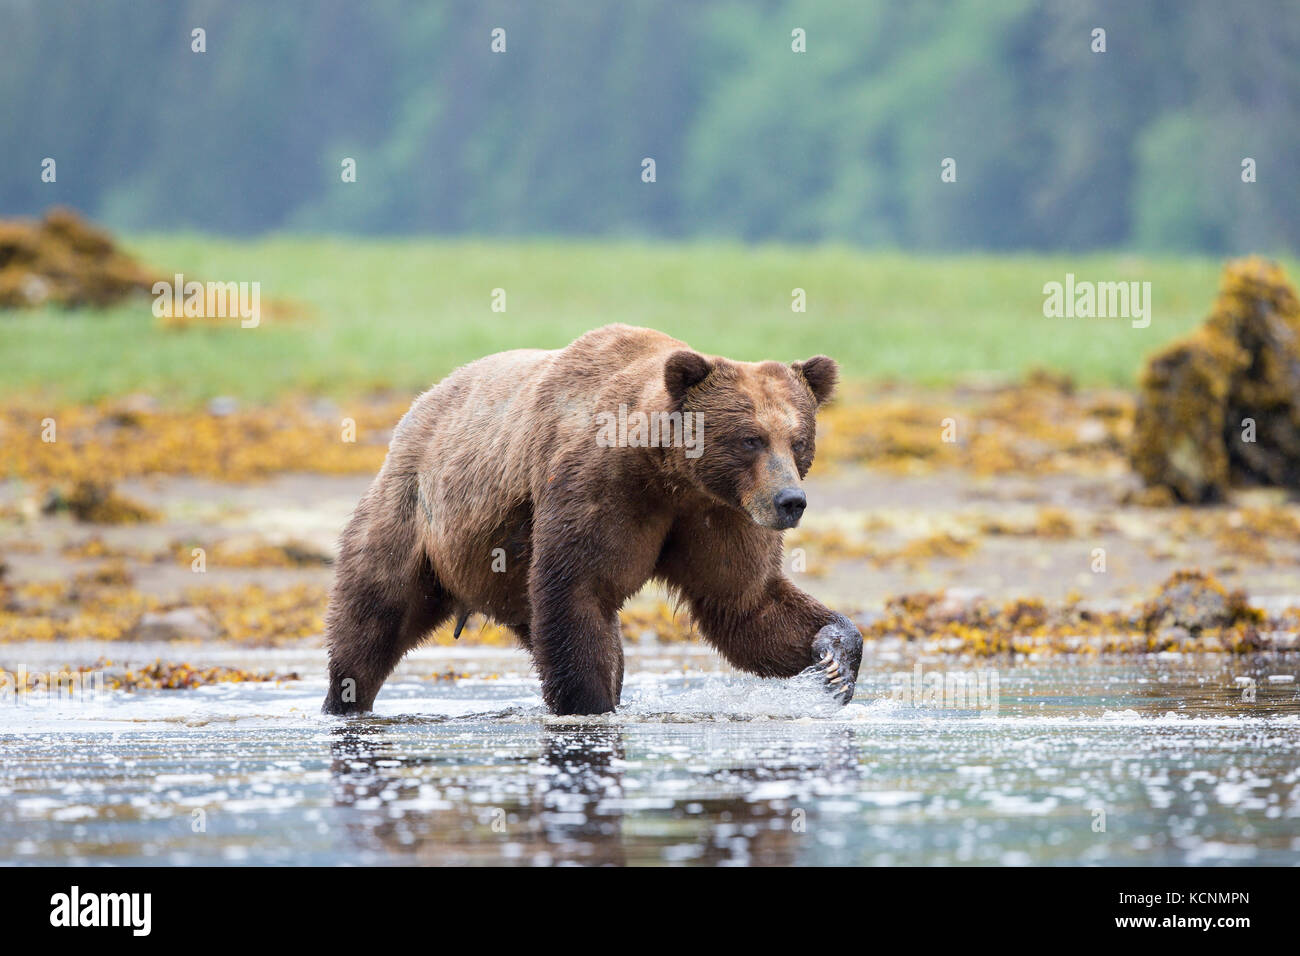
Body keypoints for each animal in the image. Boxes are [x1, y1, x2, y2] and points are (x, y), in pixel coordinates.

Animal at [322, 325, 863, 712]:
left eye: (798, 440)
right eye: (751, 438)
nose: (790, 501)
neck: (669, 474)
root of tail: (418, 408)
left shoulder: (721, 513)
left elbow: (745, 602)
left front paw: (834, 656)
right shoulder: (599, 486)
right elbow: (579, 589)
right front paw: (591, 706)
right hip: (415, 512)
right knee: (371, 616)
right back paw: (342, 701)